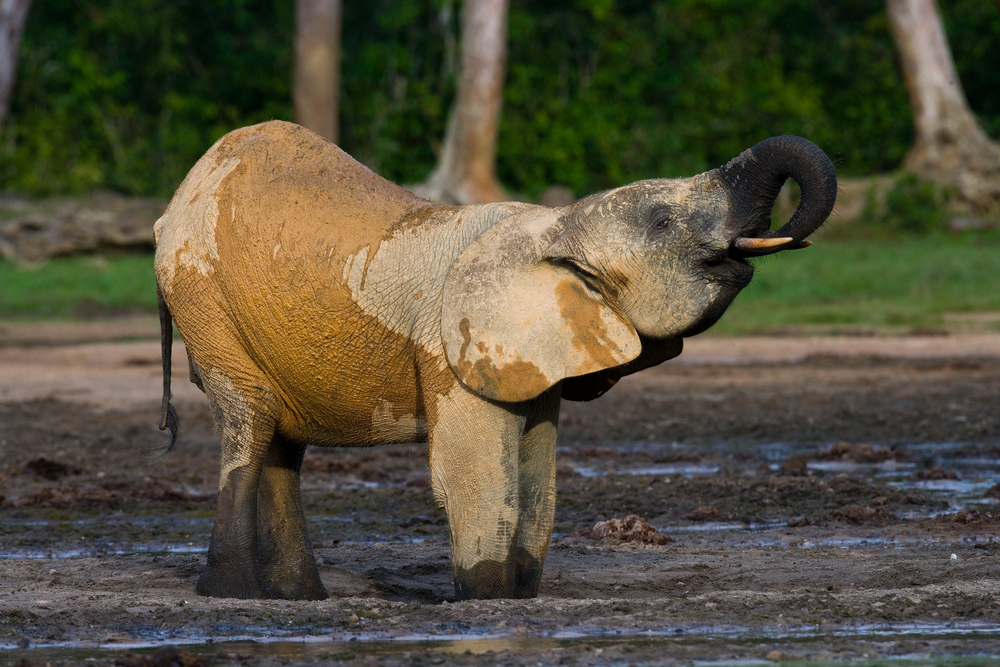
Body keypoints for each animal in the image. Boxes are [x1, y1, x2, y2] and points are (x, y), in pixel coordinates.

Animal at [154, 121, 836, 604]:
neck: (554, 227)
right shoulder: (451, 350)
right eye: (664, 220)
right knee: (250, 420)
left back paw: (299, 600)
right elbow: (476, 475)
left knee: (282, 443)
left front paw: (520, 597)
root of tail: (178, 198)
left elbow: (537, 480)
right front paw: (485, 603)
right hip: (203, 300)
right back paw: (234, 594)